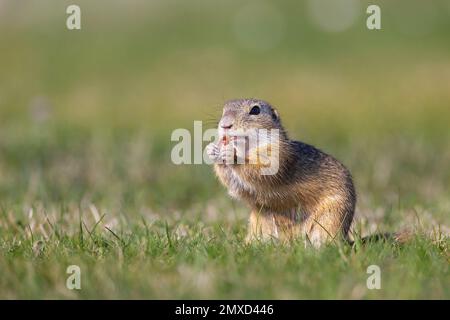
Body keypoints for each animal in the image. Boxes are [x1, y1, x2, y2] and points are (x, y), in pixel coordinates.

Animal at [206, 98, 356, 248]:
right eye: (224, 110)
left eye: (255, 110)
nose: (225, 125)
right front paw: (211, 149)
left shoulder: (277, 155)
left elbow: (259, 170)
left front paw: (232, 155)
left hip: (332, 217)